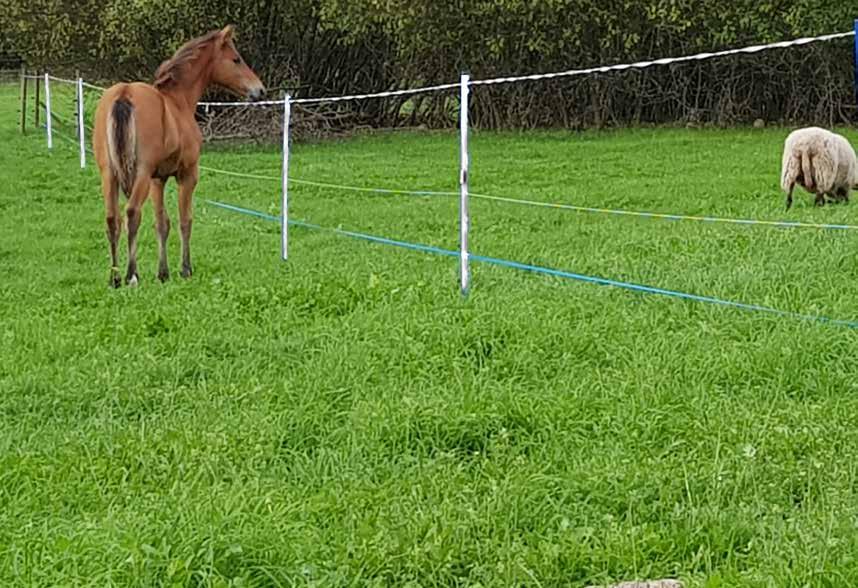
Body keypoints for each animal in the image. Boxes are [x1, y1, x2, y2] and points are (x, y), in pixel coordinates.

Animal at [92, 25, 262, 288]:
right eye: (236, 59)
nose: (259, 90)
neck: (178, 102)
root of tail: (124, 93)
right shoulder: (187, 175)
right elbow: (185, 221)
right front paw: (185, 269)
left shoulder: (157, 179)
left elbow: (162, 223)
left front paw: (163, 273)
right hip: (140, 175)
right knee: (132, 214)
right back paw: (132, 275)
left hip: (109, 174)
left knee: (113, 219)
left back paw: (115, 277)